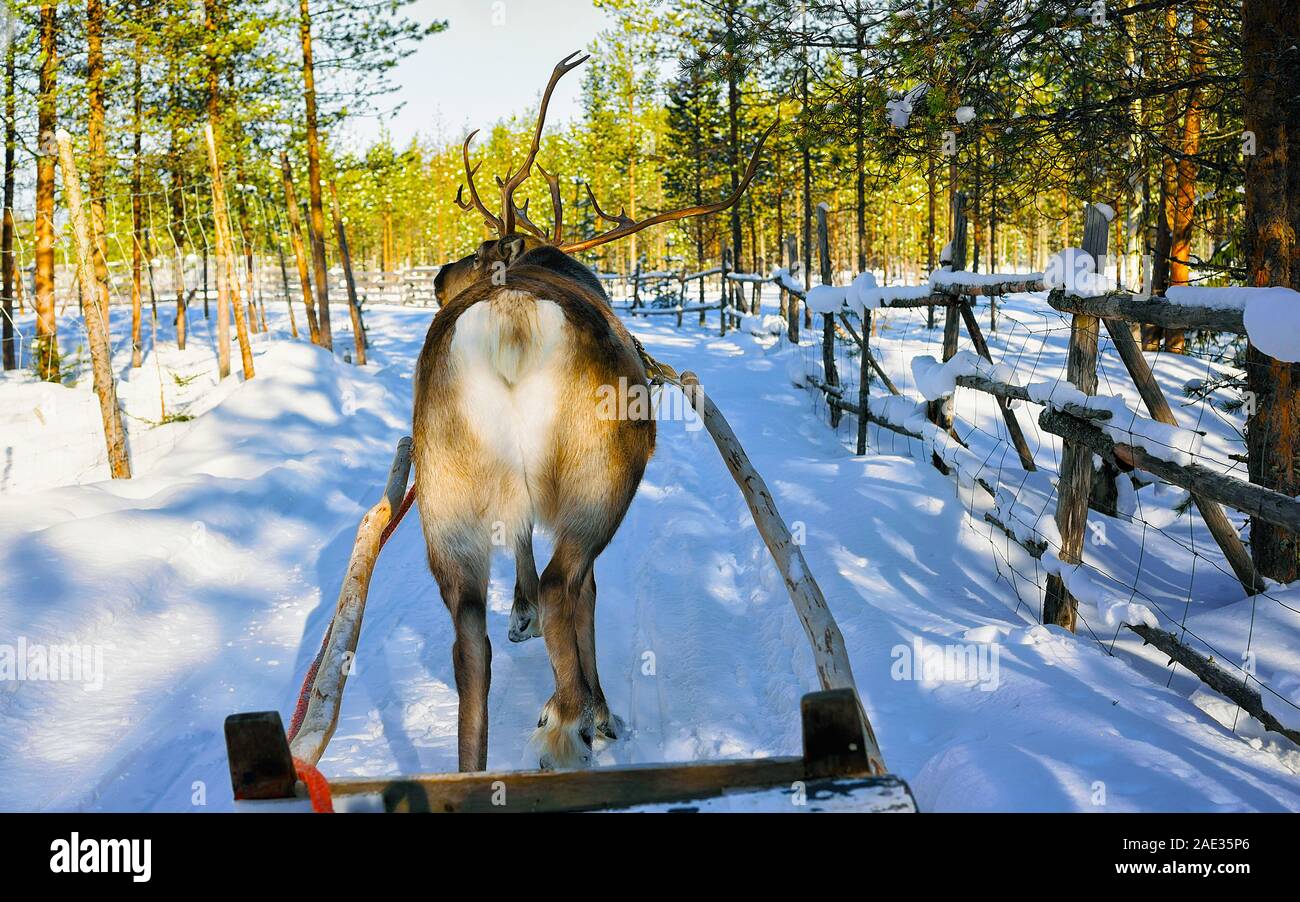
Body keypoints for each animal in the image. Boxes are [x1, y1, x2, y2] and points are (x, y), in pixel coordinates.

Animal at [415, 51, 772, 772]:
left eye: (478, 250)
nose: (438, 276)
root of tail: (512, 316)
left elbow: (522, 545)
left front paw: (519, 613)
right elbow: (588, 599)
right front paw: (601, 710)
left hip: (445, 490)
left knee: (469, 639)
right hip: (601, 474)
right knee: (565, 587)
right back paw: (572, 719)